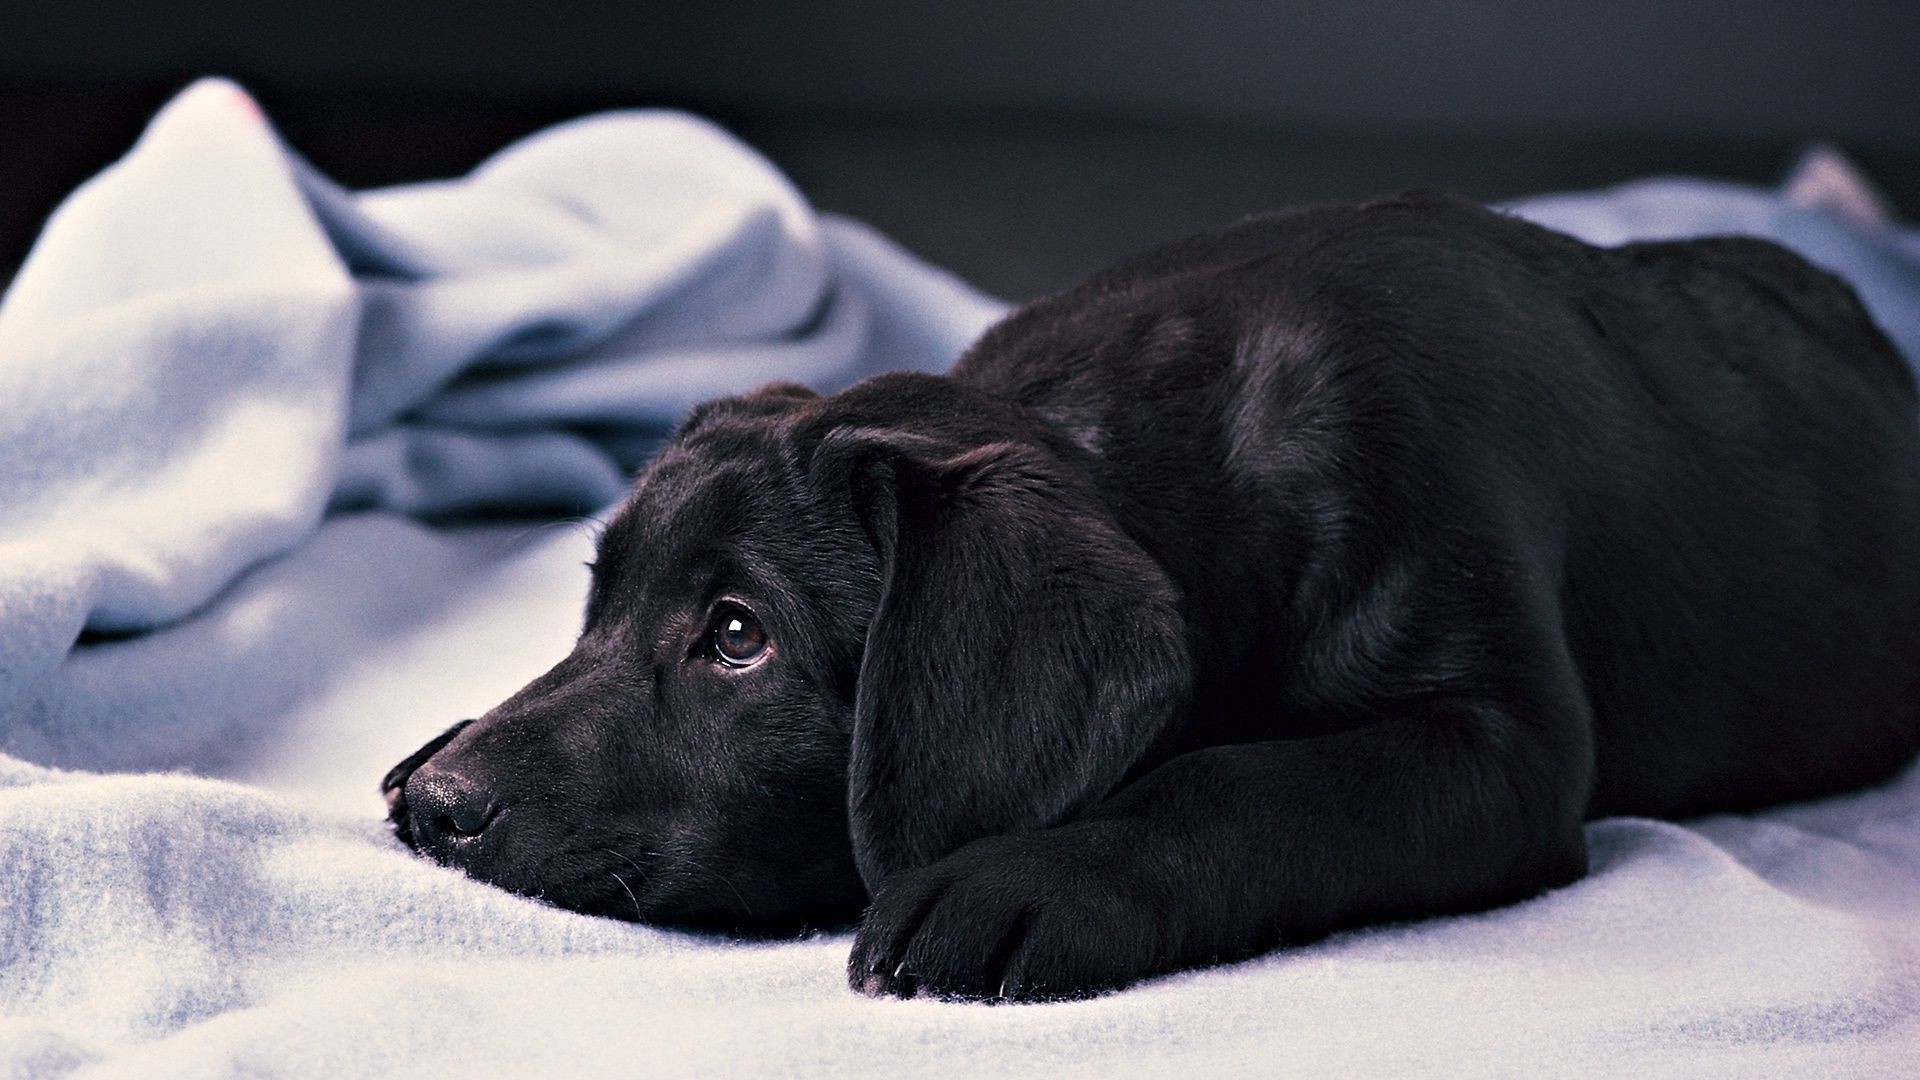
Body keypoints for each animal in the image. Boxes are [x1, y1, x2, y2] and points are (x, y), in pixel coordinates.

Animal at [382, 191, 1920, 991]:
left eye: (739, 637)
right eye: (595, 603)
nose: (442, 810)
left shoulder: (1498, 744)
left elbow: (1243, 783)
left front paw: (1028, 879)